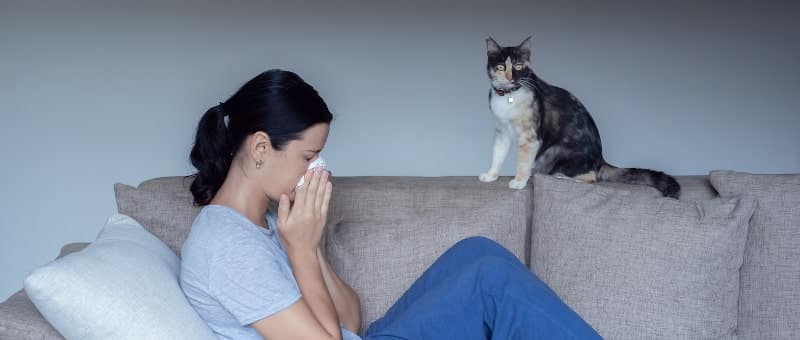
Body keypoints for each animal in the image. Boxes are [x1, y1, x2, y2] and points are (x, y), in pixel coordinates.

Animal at [478, 36, 680, 199]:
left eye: (518, 66)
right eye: (501, 67)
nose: (511, 77)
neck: (508, 96)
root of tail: (601, 160)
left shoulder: (530, 138)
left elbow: (523, 161)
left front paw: (519, 182)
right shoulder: (502, 131)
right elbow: (497, 154)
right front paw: (491, 175)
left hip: (555, 151)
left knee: (591, 178)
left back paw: (560, 177)